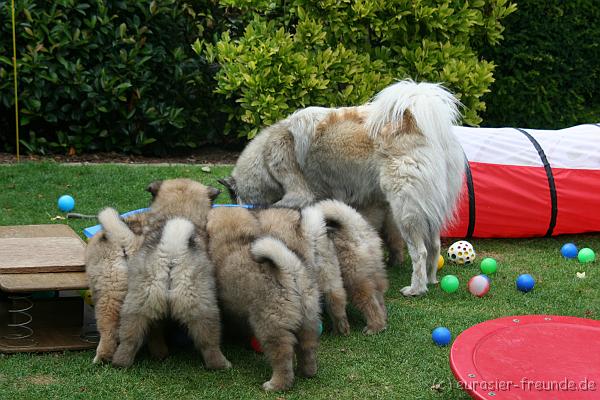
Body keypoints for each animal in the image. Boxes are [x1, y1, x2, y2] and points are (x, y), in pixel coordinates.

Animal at [109, 180, 231, 370]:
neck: (178, 211)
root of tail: (172, 250)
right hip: (204, 307)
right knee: (208, 342)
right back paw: (221, 363)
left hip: (137, 304)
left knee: (130, 339)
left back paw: (123, 361)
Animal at [206, 206, 322, 390]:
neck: (234, 236)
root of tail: (289, 271)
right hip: (308, 318)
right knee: (307, 348)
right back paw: (307, 372)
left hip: (271, 325)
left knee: (282, 357)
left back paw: (276, 385)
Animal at [220, 79, 464, 296]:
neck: (264, 159)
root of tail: (415, 119)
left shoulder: (299, 194)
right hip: (427, 210)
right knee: (434, 246)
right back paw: (431, 280)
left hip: (405, 211)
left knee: (420, 251)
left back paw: (416, 289)